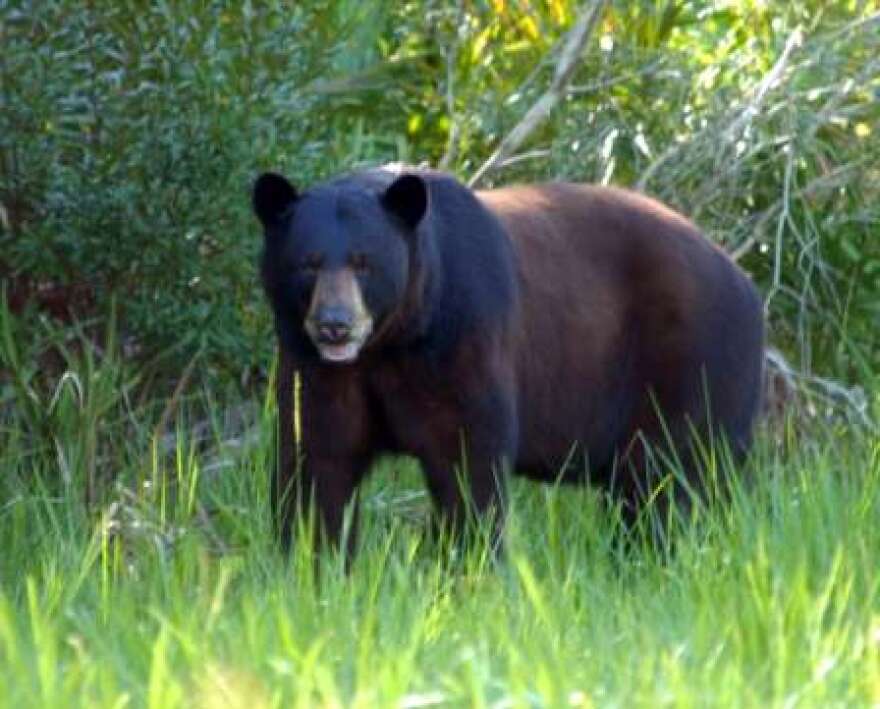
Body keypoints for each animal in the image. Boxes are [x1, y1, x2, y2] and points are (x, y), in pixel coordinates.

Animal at [253, 166, 764, 552]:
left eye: (365, 263)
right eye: (308, 262)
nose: (334, 324)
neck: (392, 342)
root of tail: (742, 278)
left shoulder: (463, 342)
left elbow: (468, 461)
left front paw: (466, 567)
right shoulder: (318, 370)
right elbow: (318, 460)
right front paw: (313, 568)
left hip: (694, 365)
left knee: (670, 478)